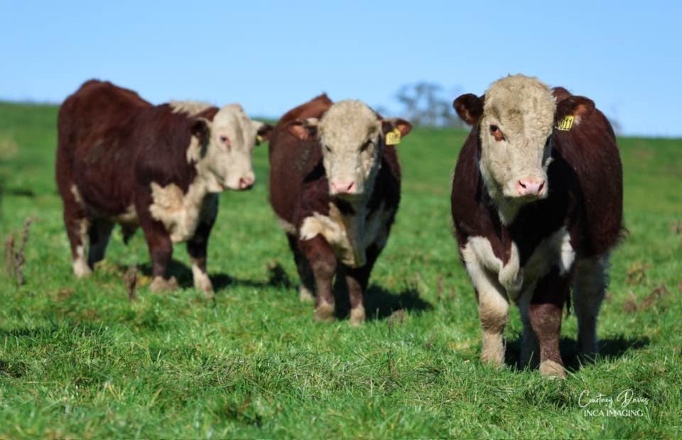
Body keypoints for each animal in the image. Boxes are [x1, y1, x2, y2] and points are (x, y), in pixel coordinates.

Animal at [56, 79, 272, 296]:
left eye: (252, 144)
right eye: (224, 138)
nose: (247, 180)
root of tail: (94, 84)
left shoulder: (207, 212)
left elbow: (199, 252)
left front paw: (205, 289)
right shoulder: (149, 208)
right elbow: (161, 248)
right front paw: (159, 285)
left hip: (105, 201)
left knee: (100, 235)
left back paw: (99, 267)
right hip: (72, 194)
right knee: (76, 229)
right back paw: (83, 272)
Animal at [268, 94, 412, 325]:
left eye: (367, 143)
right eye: (327, 146)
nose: (343, 185)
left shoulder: (379, 233)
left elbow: (359, 274)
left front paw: (357, 317)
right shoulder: (308, 222)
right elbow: (324, 265)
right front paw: (324, 312)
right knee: (300, 260)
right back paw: (307, 295)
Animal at [450, 74, 623, 377]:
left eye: (549, 136)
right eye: (495, 130)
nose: (531, 184)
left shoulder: (563, 252)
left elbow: (546, 315)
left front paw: (552, 370)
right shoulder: (470, 247)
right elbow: (493, 312)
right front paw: (492, 364)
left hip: (597, 249)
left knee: (587, 302)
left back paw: (587, 354)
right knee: (525, 308)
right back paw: (529, 358)